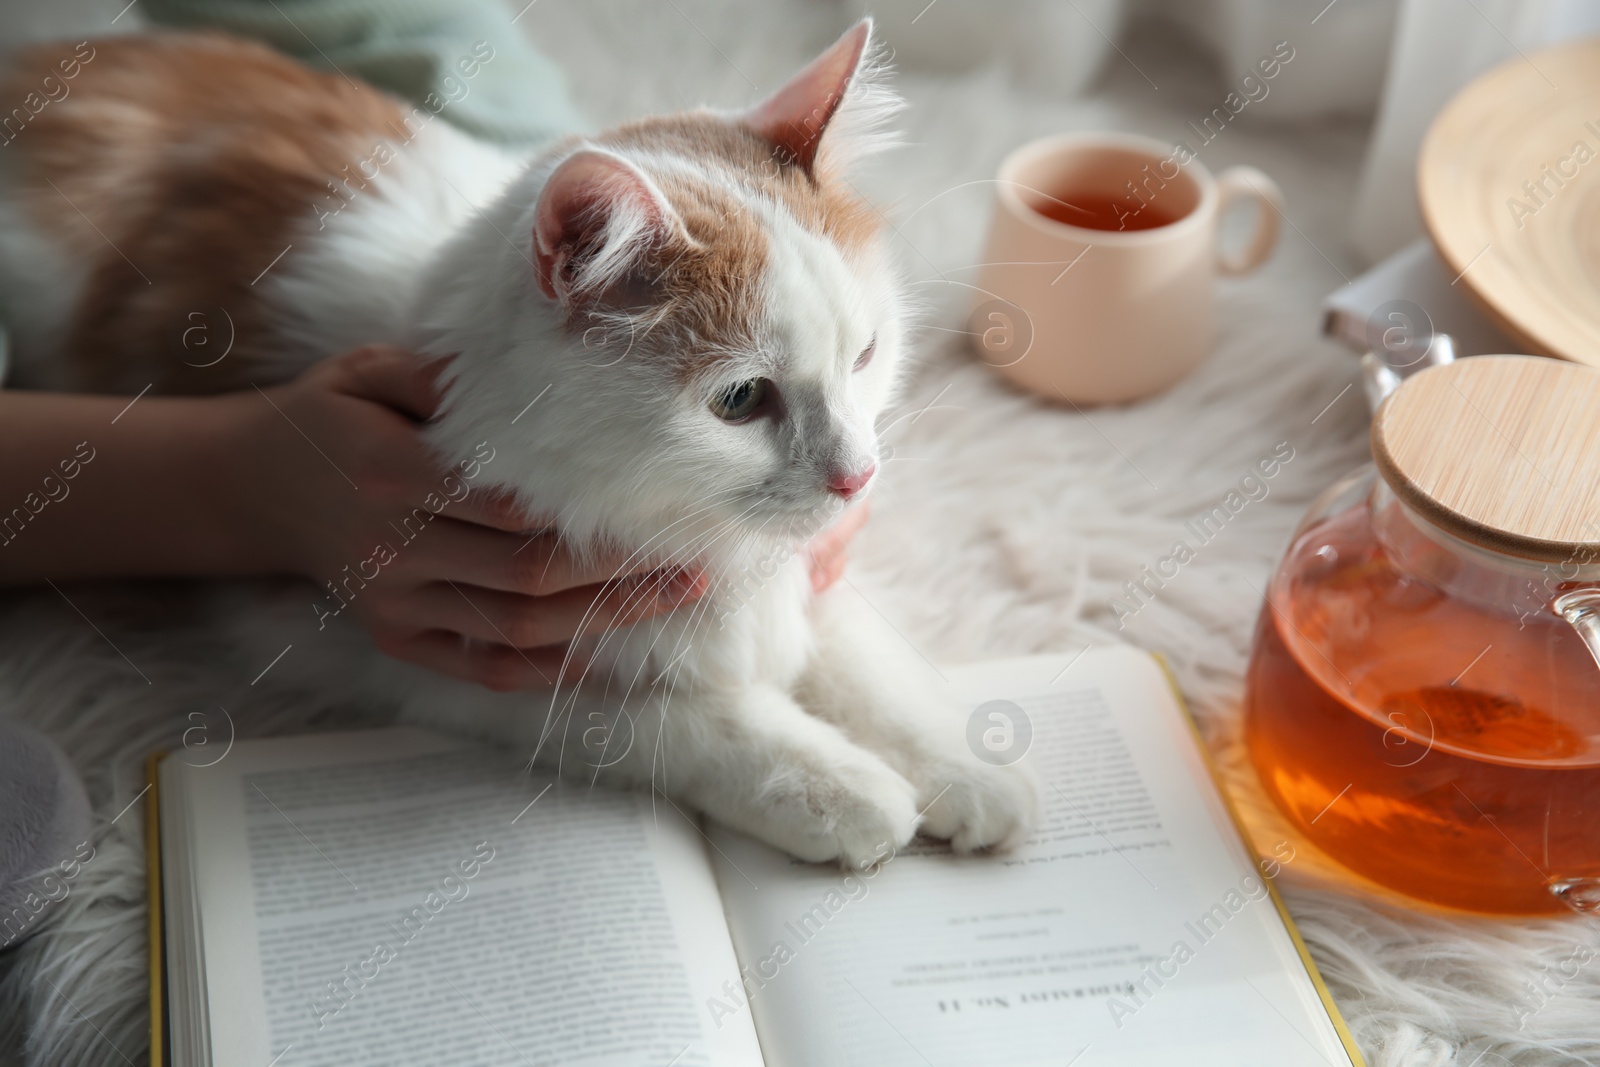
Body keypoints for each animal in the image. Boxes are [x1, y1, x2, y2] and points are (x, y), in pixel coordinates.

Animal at [0, 20, 1036, 870]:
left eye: (866, 354)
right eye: (742, 400)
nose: (858, 476)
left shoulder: (800, 571)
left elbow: (863, 653)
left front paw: (960, 756)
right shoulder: (386, 643)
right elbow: (664, 718)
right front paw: (836, 785)